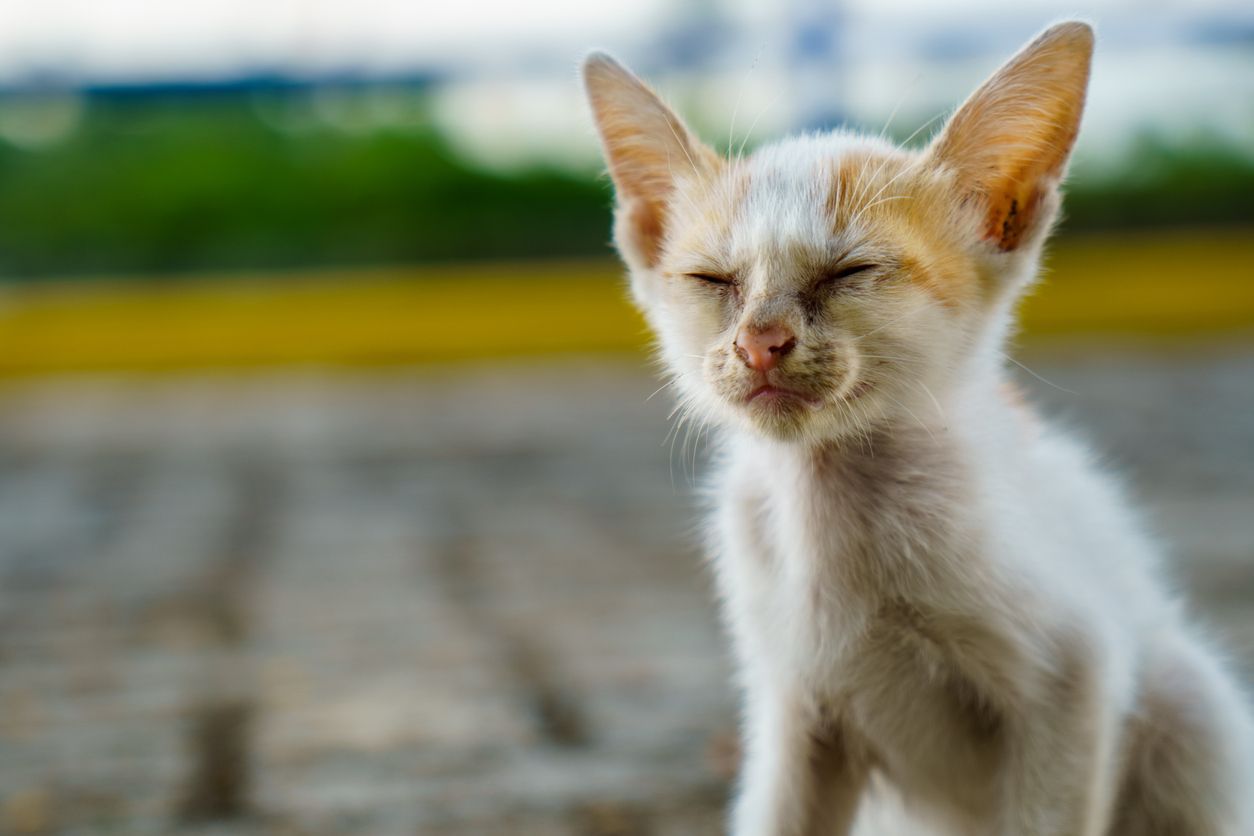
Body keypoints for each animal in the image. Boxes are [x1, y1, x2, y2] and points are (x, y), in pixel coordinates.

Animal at [581, 19, 1248, 836]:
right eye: (713, 280)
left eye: (851, 272)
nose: (759, 342)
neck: (833, 503)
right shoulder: (794, 704)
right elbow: (780, 812)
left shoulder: (1075, 676)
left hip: (1189, 700)